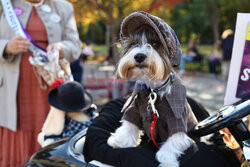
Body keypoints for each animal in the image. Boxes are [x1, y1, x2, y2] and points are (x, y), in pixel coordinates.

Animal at [107, 11, 197, 166]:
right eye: (133, 44)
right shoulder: (134, 108)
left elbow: (174, 139)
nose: (139, 56)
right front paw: (119, 141)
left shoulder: (177, 118)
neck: (152, 90)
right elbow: (129, 125)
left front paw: (167, 160)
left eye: (155, 43)